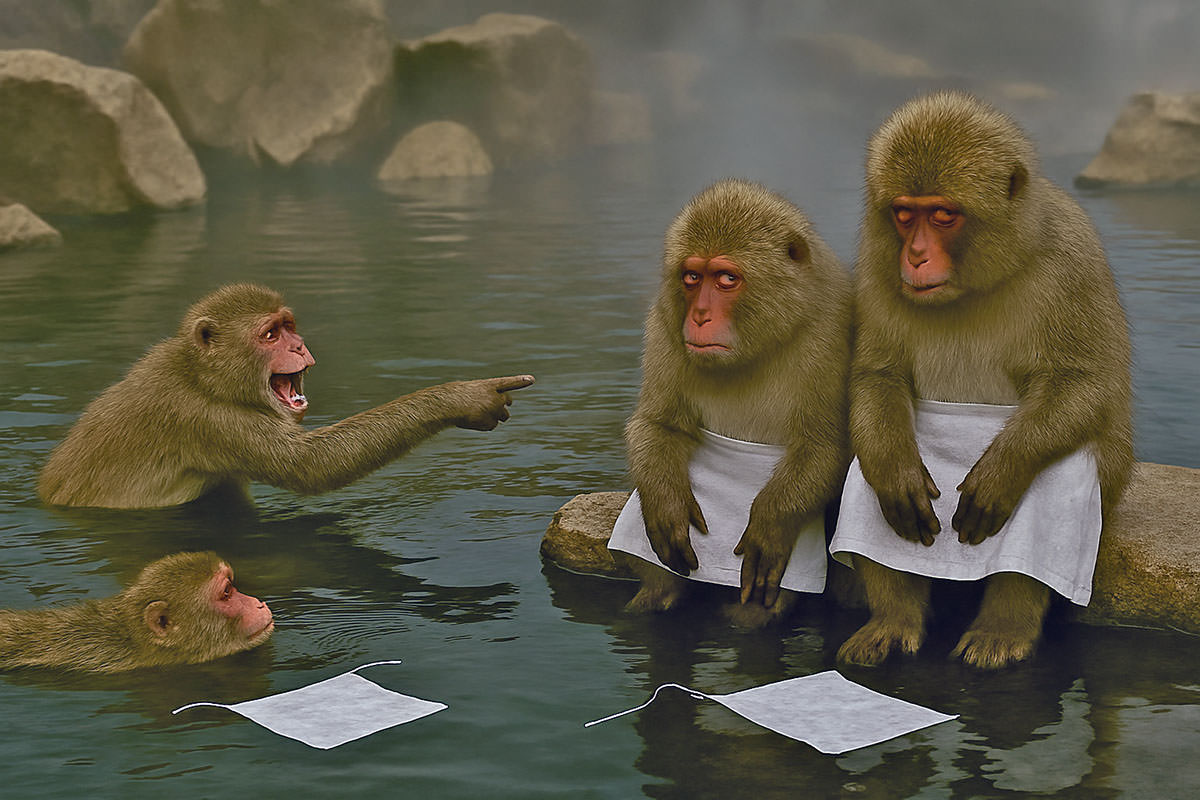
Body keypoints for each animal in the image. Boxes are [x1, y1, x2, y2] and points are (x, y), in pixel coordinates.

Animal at [38, 283, 535, 508]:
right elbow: (311, 468)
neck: (199, 377)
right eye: (270, 334)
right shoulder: (208, 419)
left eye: (289, 327)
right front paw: (459, 397)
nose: (297, 346)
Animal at [607, 178, 853, 627]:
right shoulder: (665, 322)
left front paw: (770, 525)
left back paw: (755, 614)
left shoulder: (834, 331)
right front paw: (666, 505)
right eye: (691, 276)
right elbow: (658, 424)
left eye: (725, 278)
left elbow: (826, 443)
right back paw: (660, 594)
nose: (700, 315)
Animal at [831, 91, 1133, 669]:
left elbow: (1088, 382)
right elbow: (877, 373)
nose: (915, 254)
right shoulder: (877, 261)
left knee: (1061, 477)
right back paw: (894, 622)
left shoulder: (1073, 258)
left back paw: (1004, 631)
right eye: (904, 214)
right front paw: (896, 472)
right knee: (867, 483)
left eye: (943, 215)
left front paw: (999, 474)